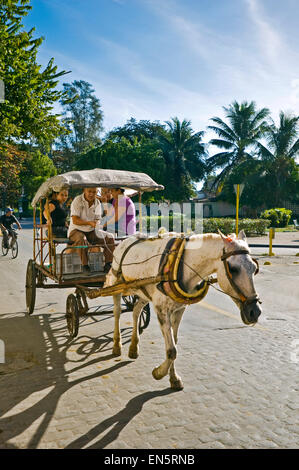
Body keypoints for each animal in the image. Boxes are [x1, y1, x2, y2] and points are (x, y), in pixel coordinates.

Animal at [106, 230, 262, 390]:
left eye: (254, 268)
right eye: (233, 269)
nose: (254, 312)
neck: (182, 263)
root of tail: (123, 242)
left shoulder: (179, 310)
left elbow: (174, 343)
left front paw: (174, 378)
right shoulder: (161, 310)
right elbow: (172, 350)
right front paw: (159, 373)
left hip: (144, 292)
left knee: (136, 310)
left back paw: (133, 347)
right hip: (116, 285)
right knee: (117, 313)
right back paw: (117, 345)